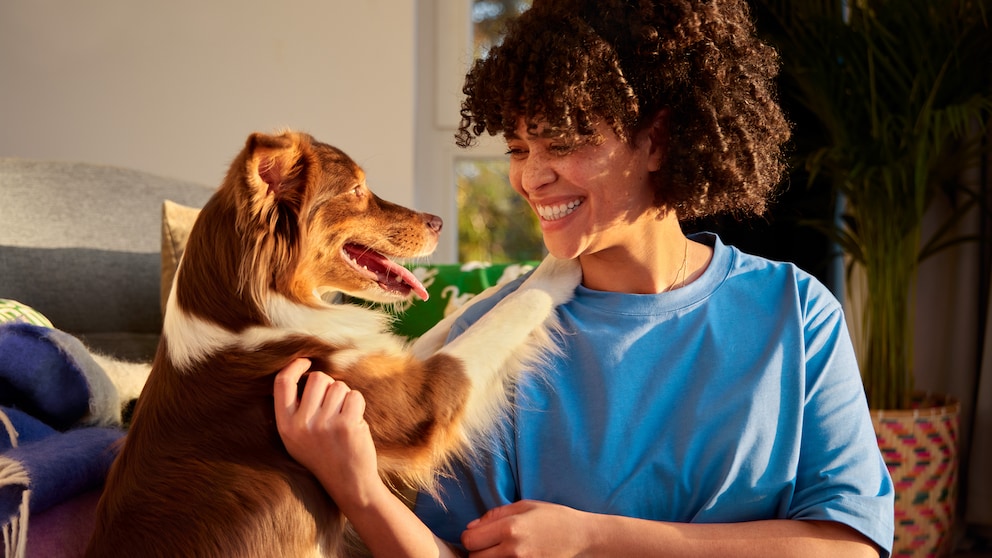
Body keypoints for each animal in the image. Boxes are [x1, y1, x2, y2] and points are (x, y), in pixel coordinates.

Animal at [87, 132, 580, 558]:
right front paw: (553, 266)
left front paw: (499, 282)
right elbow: (507, 315)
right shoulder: (418, 404)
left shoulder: (374, 359)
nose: (439, 221)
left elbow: (453, 325)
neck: (251, 316)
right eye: (357, 189)